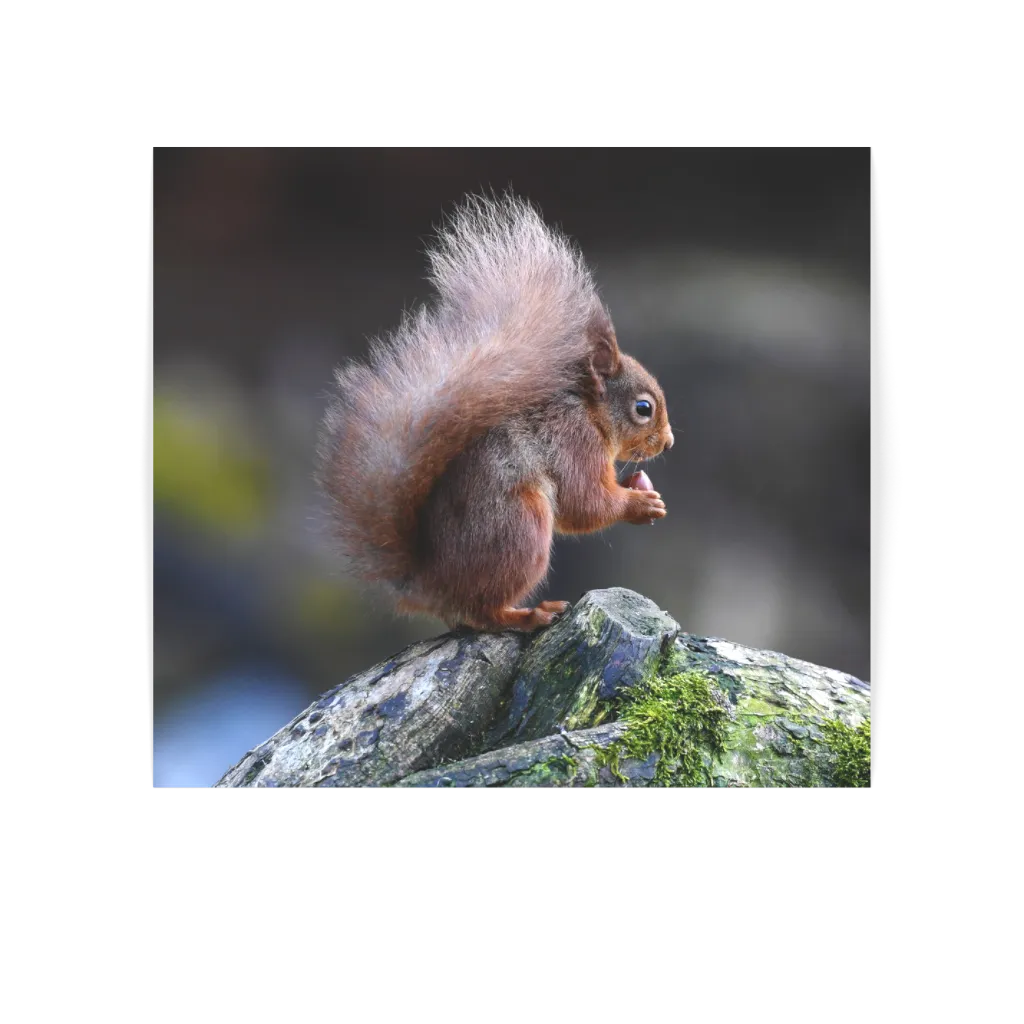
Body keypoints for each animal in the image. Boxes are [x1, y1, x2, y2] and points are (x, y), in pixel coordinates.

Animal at [316, 193, 674, 632]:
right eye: (644, 408)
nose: (668, 442)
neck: (589, 413)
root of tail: (432, 585)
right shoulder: (574, 442)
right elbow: (584, 503)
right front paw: (640, 505)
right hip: (519, 528)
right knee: (484, 611)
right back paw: (530, 614)